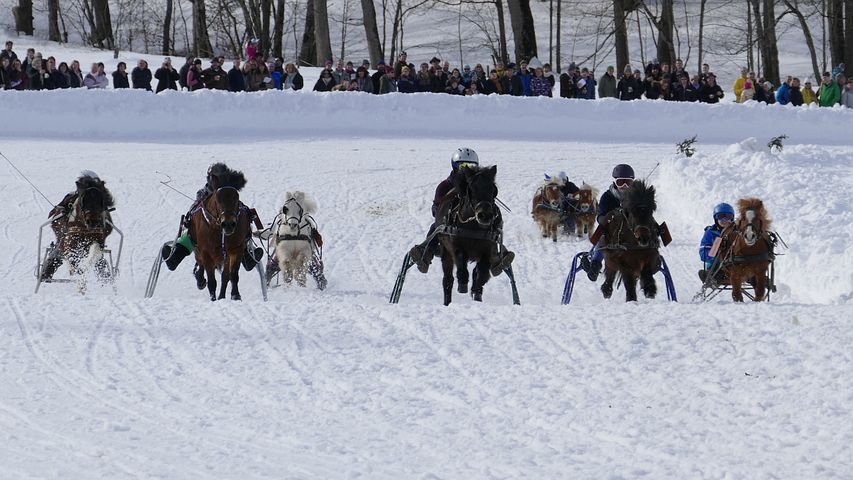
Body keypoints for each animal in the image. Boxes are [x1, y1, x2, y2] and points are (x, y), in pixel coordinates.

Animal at [190, 165, 250, 300]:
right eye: (217, 199)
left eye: (236, 198)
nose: (228, 223)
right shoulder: (206, 252)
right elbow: (212, 281)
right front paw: (213, 298)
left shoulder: (236, 249)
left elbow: (232, 275)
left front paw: (235, 295)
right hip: (198, 248)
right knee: (200, 263)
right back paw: (200, 280)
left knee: (225, 276)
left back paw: (222, 296)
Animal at [436, 165, 502, 306]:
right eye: (471, 188)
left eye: (493, 189)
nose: (485, 215)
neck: (474, 226)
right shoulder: (455, 244)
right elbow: (461, 260)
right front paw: (462, 284)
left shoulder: (489, 248)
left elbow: (483, 269)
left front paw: (477, 290)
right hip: (445, 251)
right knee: (448, 279)